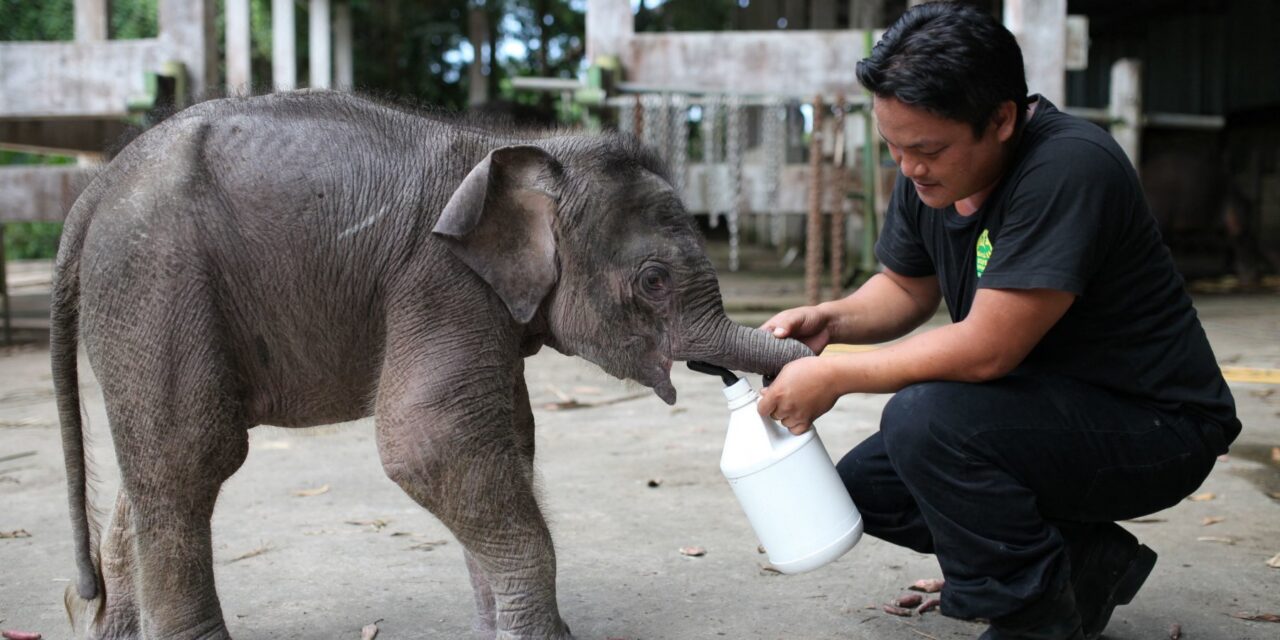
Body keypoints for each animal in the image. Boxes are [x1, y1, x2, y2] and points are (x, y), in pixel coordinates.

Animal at [55, 91, 808, 640]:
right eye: (654, 281)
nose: (791, 356)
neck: (521, 152)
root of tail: (96, 188)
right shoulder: (439, 280)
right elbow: (431, 443)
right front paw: (539, 638)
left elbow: (507, 439)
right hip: (156, 280)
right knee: (190, 456)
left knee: (153, 465)